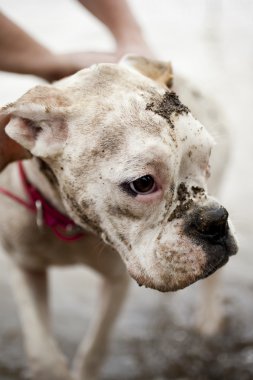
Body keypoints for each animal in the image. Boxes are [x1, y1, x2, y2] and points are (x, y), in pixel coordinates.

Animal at [0, 57, 237, 380]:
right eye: (143, 183)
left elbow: (94, 349)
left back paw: (211, 318)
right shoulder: (24, 266)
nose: (215, 221)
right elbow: (42, 353)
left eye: (206, 159)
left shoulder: (115, 281)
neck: (68, 222)